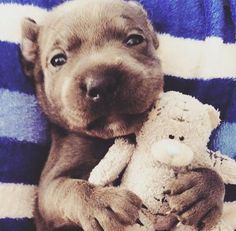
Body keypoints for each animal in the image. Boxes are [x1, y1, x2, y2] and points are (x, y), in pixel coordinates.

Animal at [20, 0, 225, 230]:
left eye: (134, 39)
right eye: (57, 60)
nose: (102, 82)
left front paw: (204, 190)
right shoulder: (47, 191)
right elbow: (67, 189)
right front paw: (100, 202)